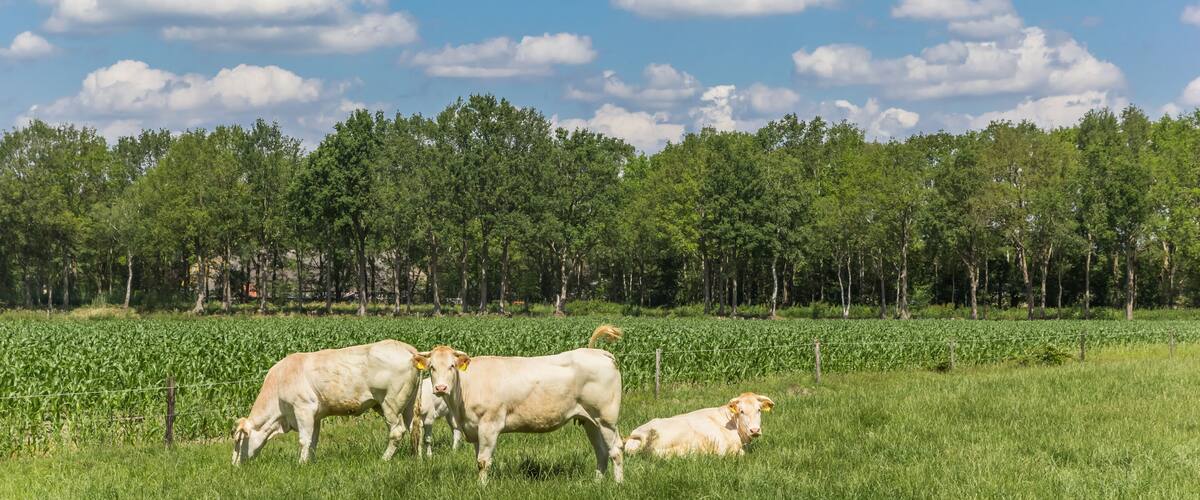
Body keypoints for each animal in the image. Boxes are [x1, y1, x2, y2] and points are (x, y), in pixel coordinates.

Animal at [231, 339, 423, 465]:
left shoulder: (303, 409)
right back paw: (418, 457)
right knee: (415, 428)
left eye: (238, 441)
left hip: (390, 403)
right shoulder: (315, 416)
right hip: (409, 404)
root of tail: (408, 349)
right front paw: (310, 462)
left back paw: (384, 459)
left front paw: (300, 464)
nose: (233, 465)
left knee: (397, 431)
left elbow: (304, 440)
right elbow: (313, 441)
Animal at [419, 325, 624, 484]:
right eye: (432, 367)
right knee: (601, 451)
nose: (441, 387)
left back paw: (618, 484)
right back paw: (597, 483)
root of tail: (599, 352)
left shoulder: (489, 425)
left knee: (616, 449)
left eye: (452, 366)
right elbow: (478, 460)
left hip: (606, 419)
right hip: (590, 420)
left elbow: (484, 461)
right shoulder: (474, 428)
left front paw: (481, 487)